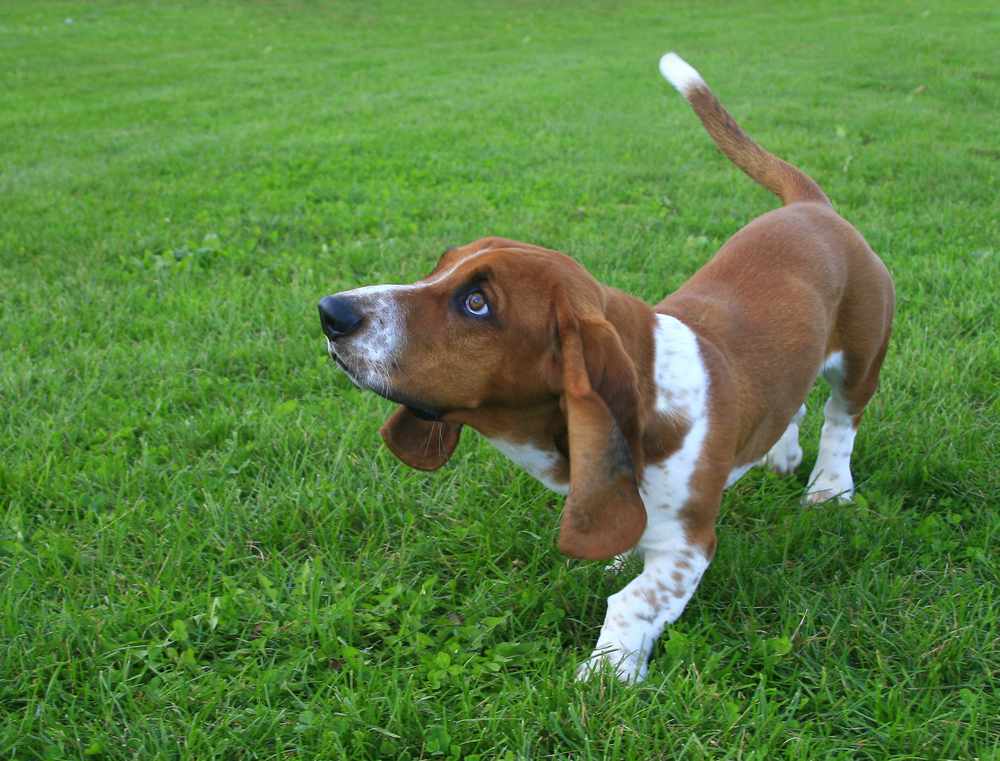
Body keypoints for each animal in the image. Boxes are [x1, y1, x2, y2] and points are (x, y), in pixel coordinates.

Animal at [316, 55, 896, 684]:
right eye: (440, 266)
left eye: (477, 303)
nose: (330, 312)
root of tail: (812, 206)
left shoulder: (688, 544)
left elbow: (635, 601)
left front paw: (606, 678)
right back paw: (780, 453)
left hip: (861, 359)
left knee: (840, 419)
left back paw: (829, 489)